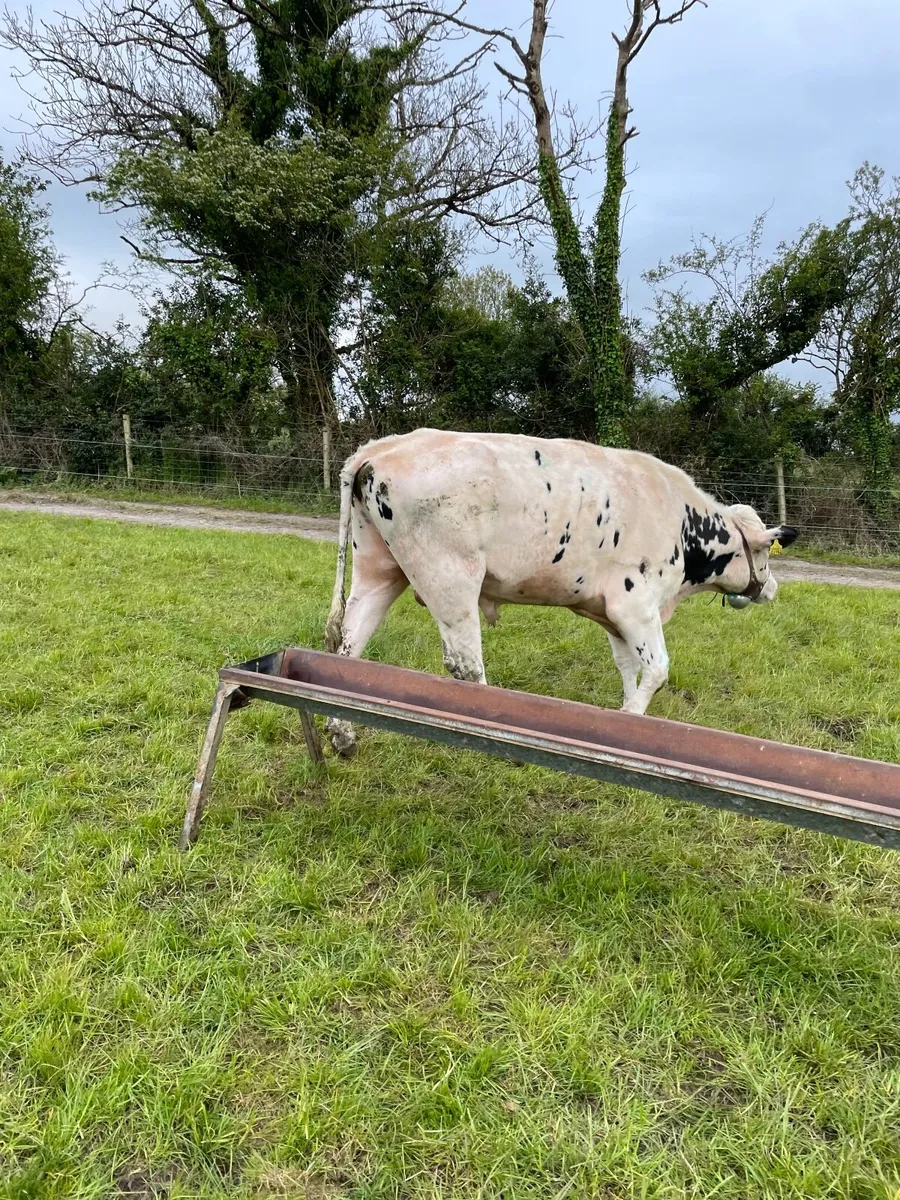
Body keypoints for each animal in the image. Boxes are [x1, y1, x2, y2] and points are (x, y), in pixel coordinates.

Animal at [323, 429, 797, 757]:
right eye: (763, 553)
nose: (771, 588)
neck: (682, 522)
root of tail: (384, 447)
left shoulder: (610, 612)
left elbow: (627, 667)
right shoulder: (636, 605)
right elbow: (657, 670)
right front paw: (634, 721)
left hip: (379, 571)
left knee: (348, 645)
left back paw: (342, 735)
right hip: (450, 576)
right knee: (465, 664)